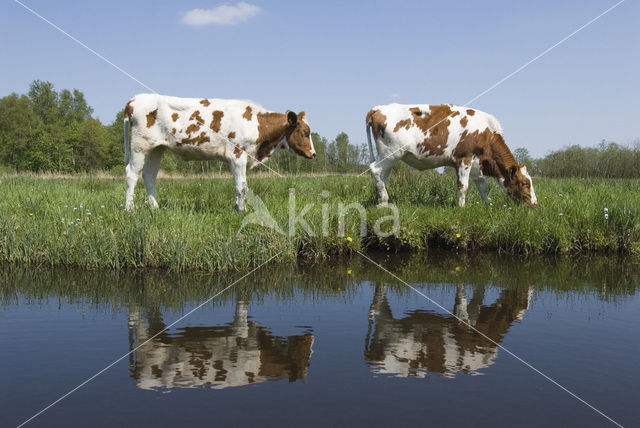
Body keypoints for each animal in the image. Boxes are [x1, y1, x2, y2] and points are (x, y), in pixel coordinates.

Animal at [122, 95, 316, 212]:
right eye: (306, 132)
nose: (313, 154)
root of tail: (133, 100)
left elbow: (240, 185)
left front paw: (238, 207)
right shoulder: (237, 155)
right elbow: (242, 186)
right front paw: (241, 210)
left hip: (157, 148)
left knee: (149, 175)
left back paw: (155, 208)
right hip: (139, 146)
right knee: (132, 174)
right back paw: (129, 208)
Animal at [364, 102, 536, 206]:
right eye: (524, 183)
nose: (534, 204)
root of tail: (378, 108)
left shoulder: (476, 165)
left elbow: (483, 187)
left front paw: (487, 205)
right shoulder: (464, 159)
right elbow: (463, 186)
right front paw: (462, 208)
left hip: (389, 157)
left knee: (382, 176)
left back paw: (381, 201)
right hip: (391, 153)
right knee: (375, 170)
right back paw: (384, 200)